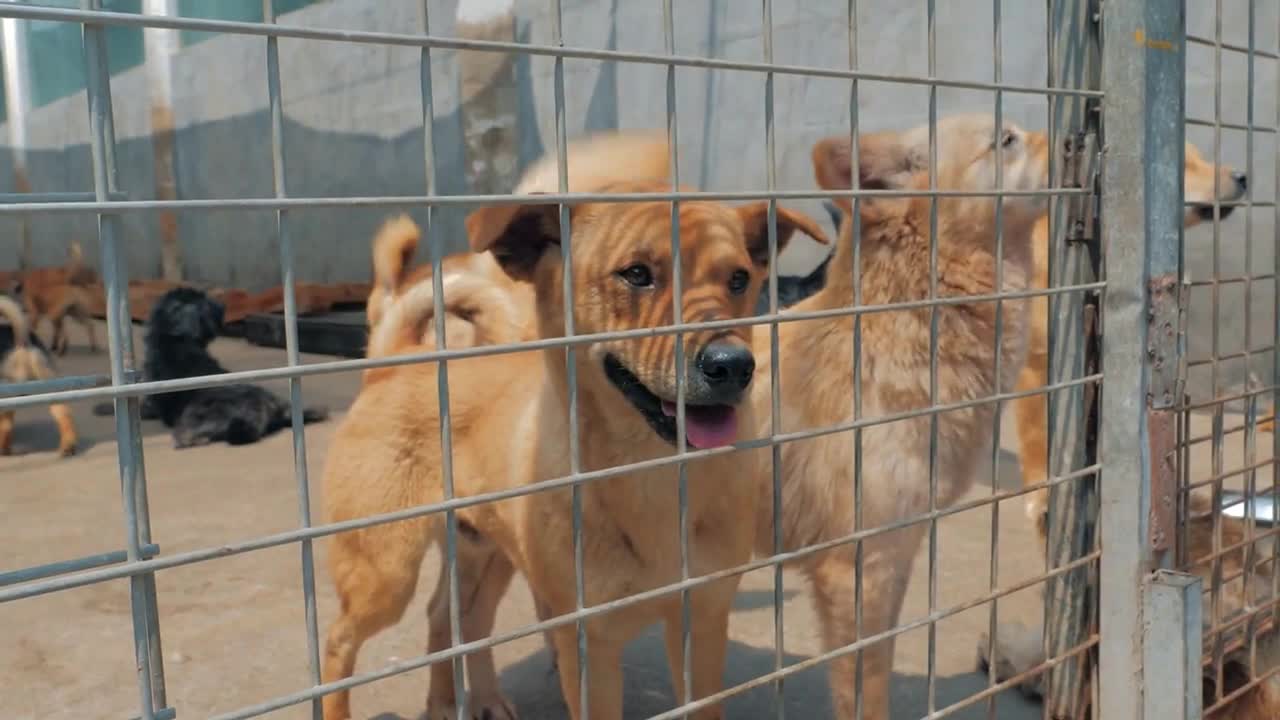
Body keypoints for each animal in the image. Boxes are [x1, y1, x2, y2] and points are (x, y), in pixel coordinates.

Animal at [93, 284, 327, 443]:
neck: (182, 343)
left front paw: (104, 406)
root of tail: (262, 411)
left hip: (195, 416)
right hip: (280, 401)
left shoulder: (151, 404)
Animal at [314, 130, 824, 717]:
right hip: (384, 572)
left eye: (740, 279)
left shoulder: (702, 621)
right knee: (339, 642)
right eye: (636, 274)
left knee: (455, 617)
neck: (650, 475)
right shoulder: (589, 648)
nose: (734, 366)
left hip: (489, 553)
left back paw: (462, 701)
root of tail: (395, 358)